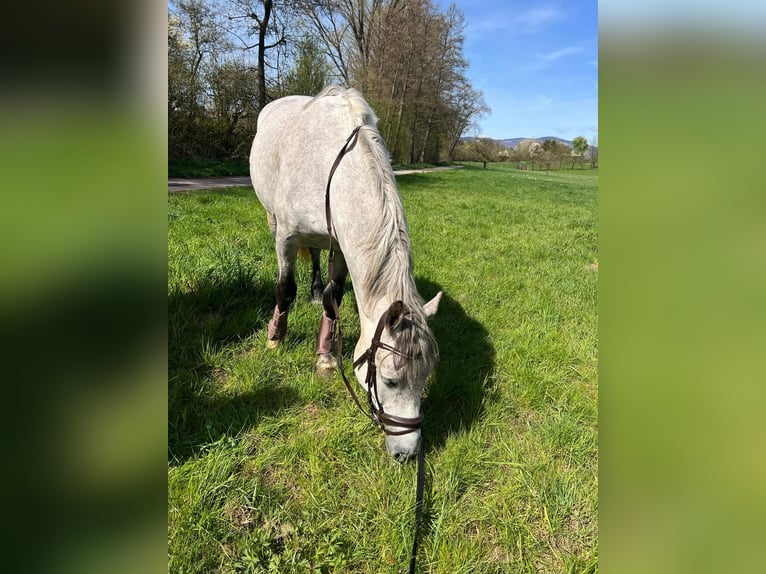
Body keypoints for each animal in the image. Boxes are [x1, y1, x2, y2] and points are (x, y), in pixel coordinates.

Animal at [249, 86, 441, 461]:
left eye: (425, 378)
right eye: (390, 380)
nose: (408, 453)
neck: (330, 167)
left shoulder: (341, 244)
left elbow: (332, 298)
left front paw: (325, 356)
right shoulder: (286, 238)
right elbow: (285, 289)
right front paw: (275, 338)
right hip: (271, 219)